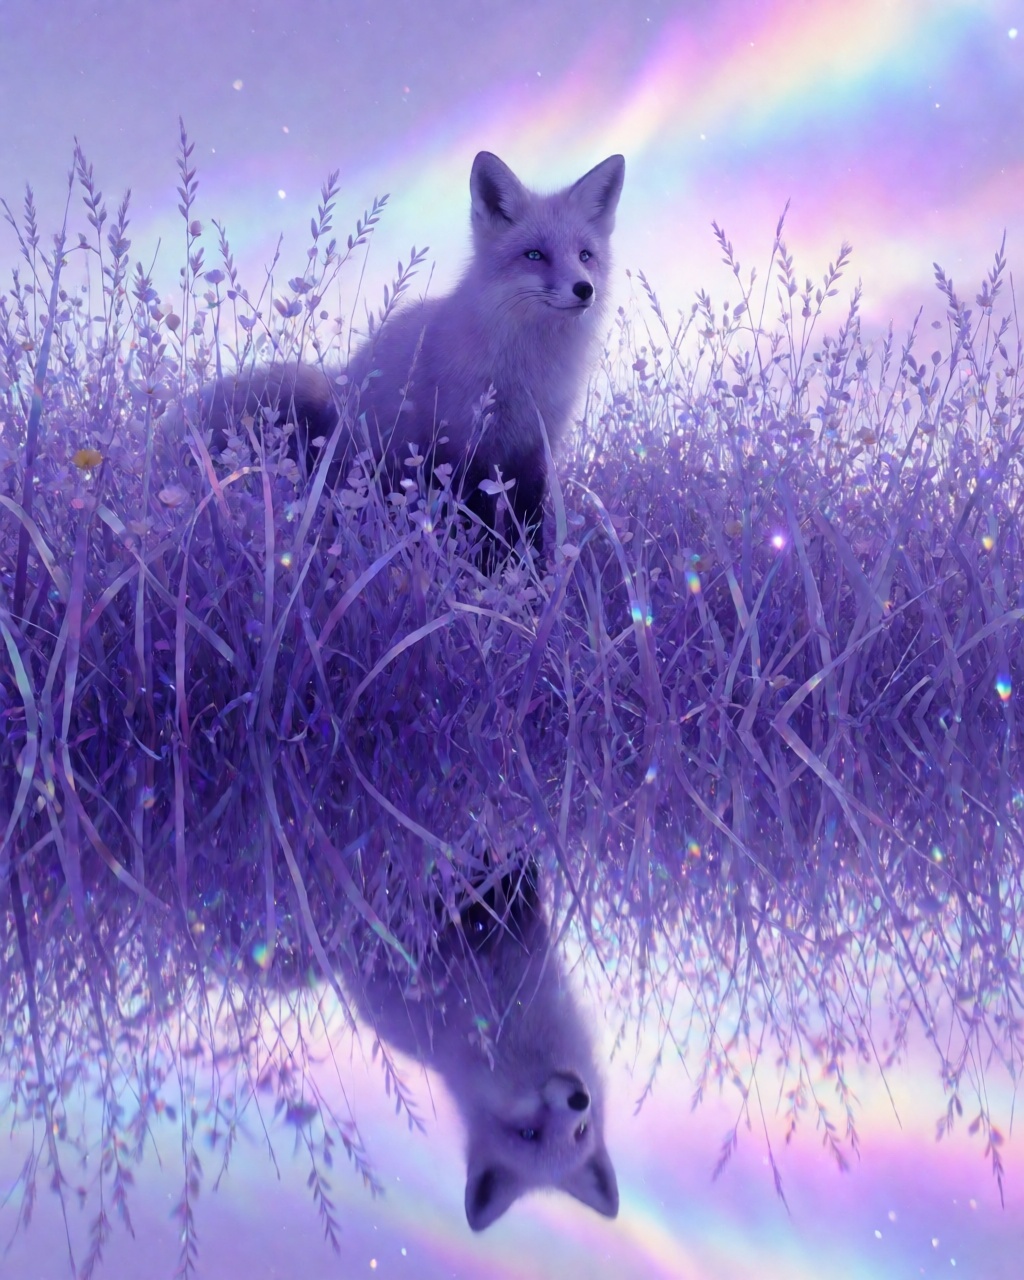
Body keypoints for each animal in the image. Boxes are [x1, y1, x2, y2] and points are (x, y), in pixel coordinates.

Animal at [199, 149, 625, 557]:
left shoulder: (536, 452)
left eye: (585, 255)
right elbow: (478, 530)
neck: (527, 372)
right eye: (535, 255)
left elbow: (531, 527)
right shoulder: (463, 450)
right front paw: (488, 573)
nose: (584, 289)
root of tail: (336, 394)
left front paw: (532, 573)